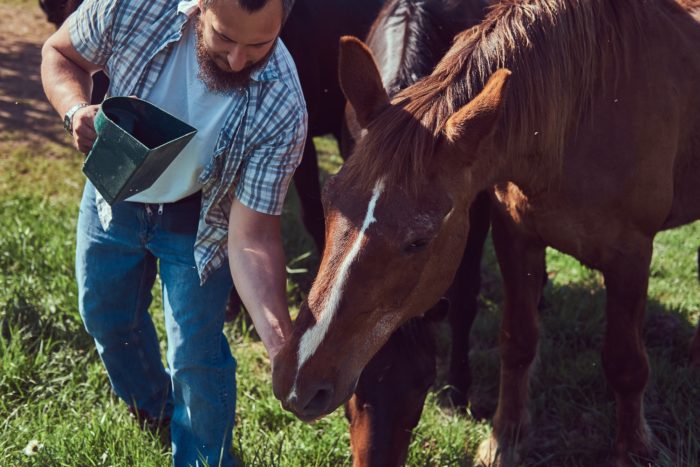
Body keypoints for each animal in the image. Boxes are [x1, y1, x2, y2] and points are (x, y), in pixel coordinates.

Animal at [272, 1, 700, 466]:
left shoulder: (630, 255)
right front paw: (504, 440)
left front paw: (633, 450)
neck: (585, 111)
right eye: (330, 201)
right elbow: (517, 341)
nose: (296, 382)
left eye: (419, 241)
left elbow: (625, 364)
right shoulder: (515, 235)